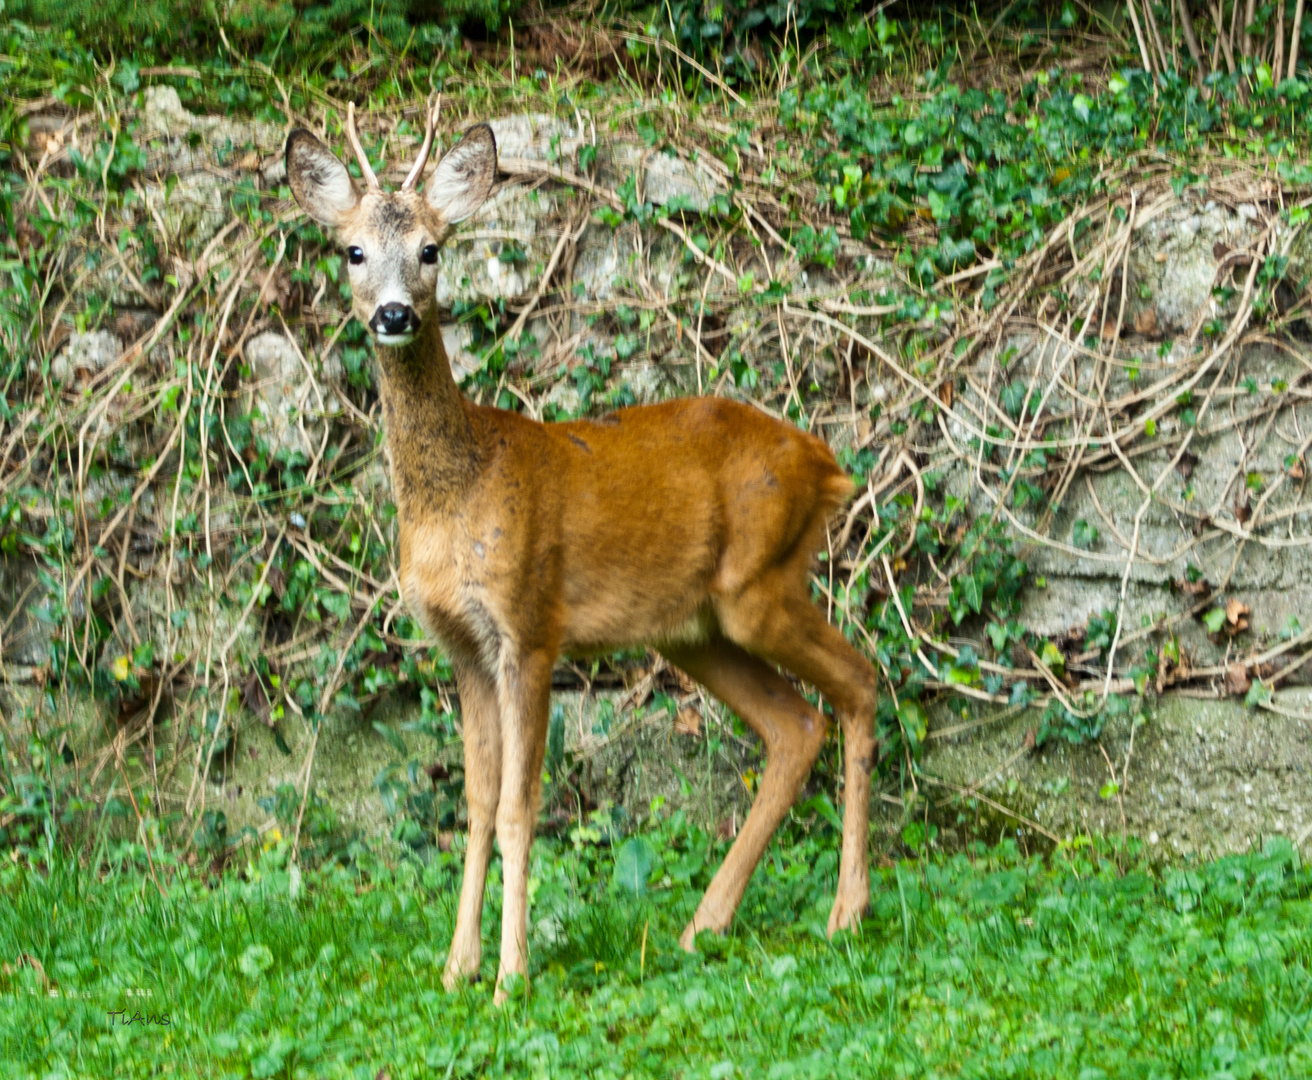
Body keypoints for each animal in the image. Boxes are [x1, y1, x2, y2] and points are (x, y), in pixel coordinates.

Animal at [287, 103, 881, 1007]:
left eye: (432, 248)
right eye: (352, 250)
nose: (393, 315)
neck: (457, 493)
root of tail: (827, 464)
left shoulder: (530, 626)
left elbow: (518, 805)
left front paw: (510, 976)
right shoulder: (460, 645)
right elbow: (474, 800)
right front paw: (456, 969)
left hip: (760, 584)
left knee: (860, 681)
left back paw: (846, 913)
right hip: (696, 631)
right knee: (796, 724)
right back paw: (704, 925)